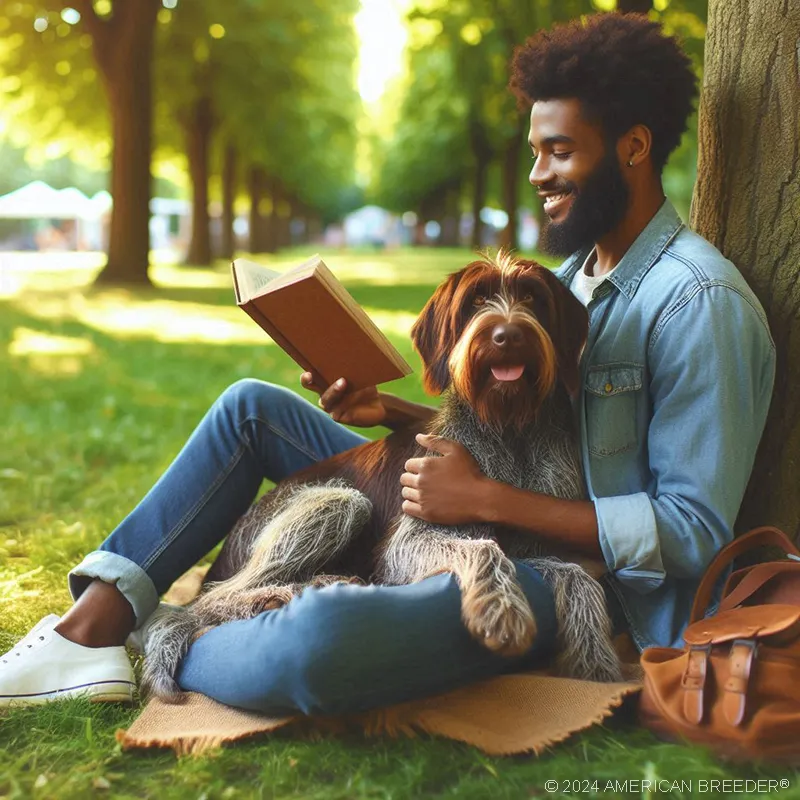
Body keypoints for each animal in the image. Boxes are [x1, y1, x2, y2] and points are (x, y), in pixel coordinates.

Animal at [144, 250, 624, 700]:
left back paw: (321, 583)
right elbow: (485, 547)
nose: (508, 335)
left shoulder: (534, 545)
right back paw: (271, 595)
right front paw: (501, 609)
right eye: (476, 301)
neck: (509, 428)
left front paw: (595, 660)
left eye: (532, 299)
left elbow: (574, 573)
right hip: (339, 501)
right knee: (208, 600)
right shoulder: (406, 546)